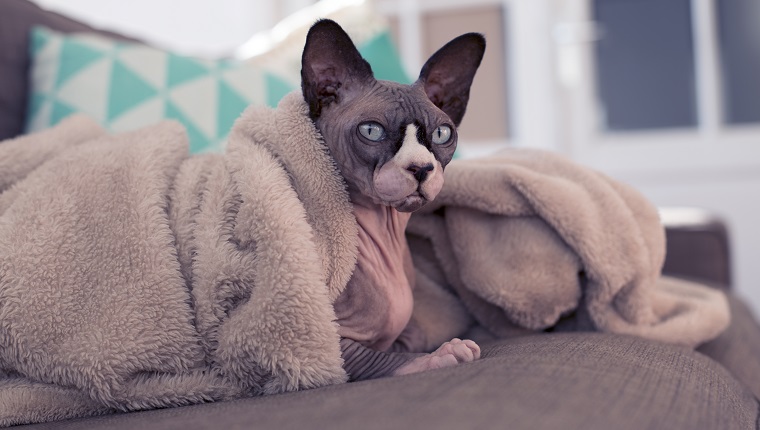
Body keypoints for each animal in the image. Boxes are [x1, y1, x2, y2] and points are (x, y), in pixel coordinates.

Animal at [300, 19, 484, 380]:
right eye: (372, 131)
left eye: (442, 133)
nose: (422, 168)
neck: (385, 234)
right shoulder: (322, 346)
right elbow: (380, 359)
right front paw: (441, 355)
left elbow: (412, 336)